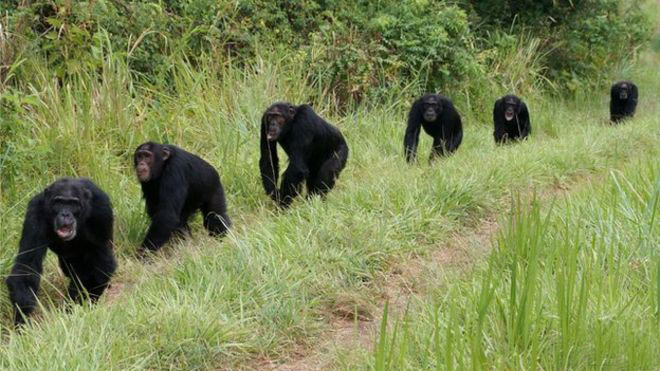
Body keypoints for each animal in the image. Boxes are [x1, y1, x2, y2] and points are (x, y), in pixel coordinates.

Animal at [5, 177, 116, 326]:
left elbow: (101, 264)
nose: (65, 214)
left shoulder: (101, 212)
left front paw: (80, 306)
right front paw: (22, 316)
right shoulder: (35, 213)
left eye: (73, 203)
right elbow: (27, 264)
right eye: (59, 202)